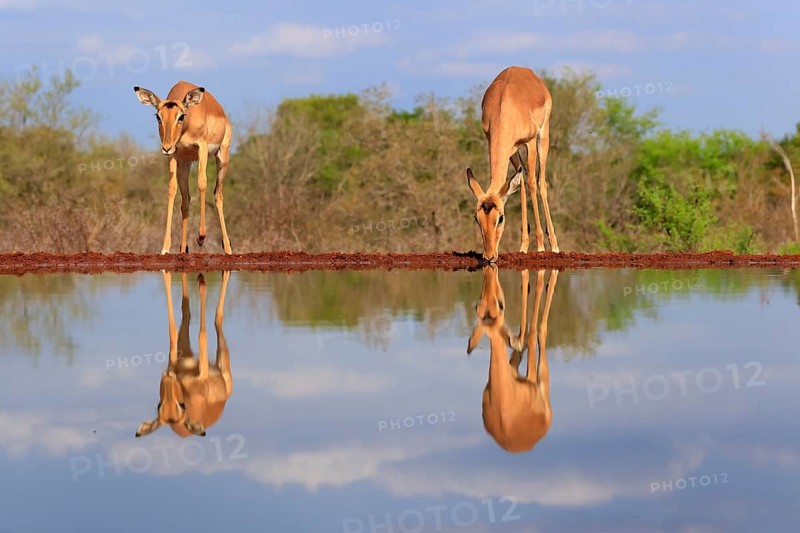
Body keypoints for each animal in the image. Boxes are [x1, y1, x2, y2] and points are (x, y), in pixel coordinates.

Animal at [133, 81, 233, 255]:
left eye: (181, 116)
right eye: (158, 116)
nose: (165, 147)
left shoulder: (202, 147)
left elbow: (202, 183)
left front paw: (201, 237)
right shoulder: (173, 154)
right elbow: (171, 190)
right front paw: (165, 248)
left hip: (221, 156)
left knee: (218, 194)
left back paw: (227, 248)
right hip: (184, 164)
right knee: (186, 200)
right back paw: (183, 248)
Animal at [136, 270, 233, 438]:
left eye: (182, 405)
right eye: (159, 405)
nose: (168, 377)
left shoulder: (203, 373)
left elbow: (202, 336)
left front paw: (202, 282)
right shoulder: (173, 361)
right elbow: (172, 329)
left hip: (224, 364)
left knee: (217, 318)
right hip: (185, 346)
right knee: (186, 310)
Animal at [467, 66, 559, 262]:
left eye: (500, 218)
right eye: (477, 218)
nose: (489, 256)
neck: (505, 107)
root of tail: (525, 70)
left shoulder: (529, 142)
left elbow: (531, 182)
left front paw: (540, 246)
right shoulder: (501, 145)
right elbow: (520, 182)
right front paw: (524, 246)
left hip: (543, 136)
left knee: (540, 182)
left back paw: (553, 245)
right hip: (514, 150)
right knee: (522, 178)